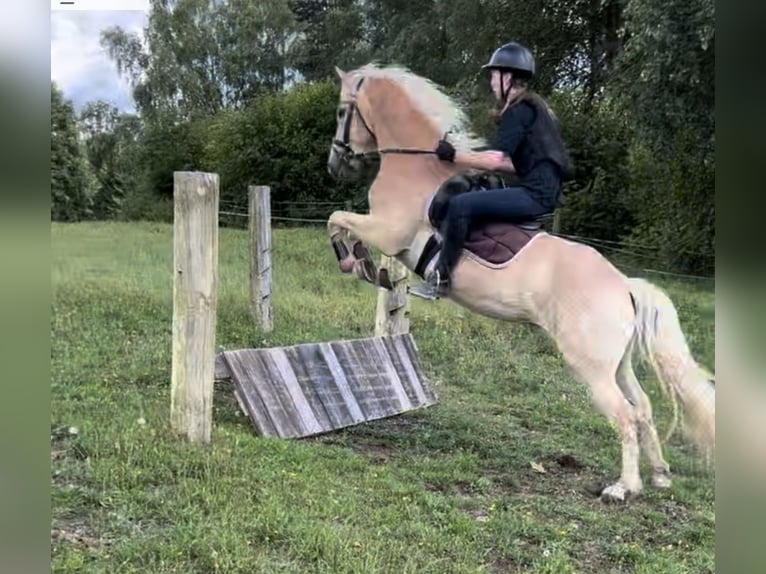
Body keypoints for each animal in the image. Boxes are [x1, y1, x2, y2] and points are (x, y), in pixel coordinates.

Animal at [322, 64, 712, 504]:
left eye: (342, 112)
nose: (335, 165)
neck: (415, 167)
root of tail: (624, 285)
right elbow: (343, 225)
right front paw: (368, 266)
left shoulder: (389, 233)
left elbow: (337, 220)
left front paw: (356, 262)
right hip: (618, 363)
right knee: (643, 407)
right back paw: (660, 475)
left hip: (590, 365)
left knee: (625, 414)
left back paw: (624, 487)